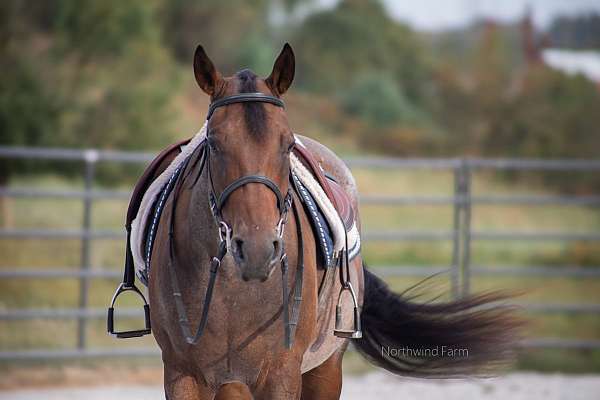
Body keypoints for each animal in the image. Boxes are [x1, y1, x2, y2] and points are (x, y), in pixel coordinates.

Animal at [142, 43, 520, 400]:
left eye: (287, 145)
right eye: (215, 144)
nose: (257, 249)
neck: (235, 289)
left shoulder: (282, 374)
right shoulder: (183, 375)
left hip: (325, 368)